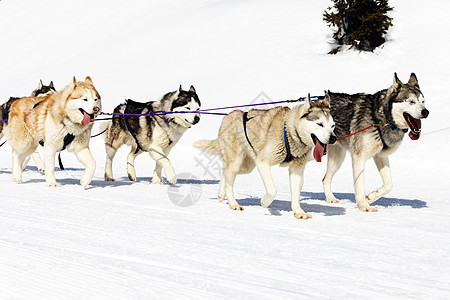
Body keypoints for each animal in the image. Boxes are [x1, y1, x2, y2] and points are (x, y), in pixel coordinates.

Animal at [195, 94, 336, 218]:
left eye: (332, 125)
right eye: (320, 124)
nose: (333, 138)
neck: (290, 131)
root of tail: (228, 116)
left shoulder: (297, 169)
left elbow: (296, 193)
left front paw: (298, 212)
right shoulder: (262, 163)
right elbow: (272, 189)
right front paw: (265, 202)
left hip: (246, 167)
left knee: (225, 171)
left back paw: (221, 193)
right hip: (237, 163)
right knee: (229, 180)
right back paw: (233, 204)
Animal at [324, 73, 428, 211]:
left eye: (423, 102)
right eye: (411, 101)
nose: (426, 112)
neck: (381, 118)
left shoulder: (380, 156)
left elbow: (389, 184)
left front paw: (371, 197)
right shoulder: (358, 157)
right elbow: (360, 185)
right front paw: (364, 205)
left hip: (337, 159)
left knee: (325, 179)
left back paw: (331, 198)